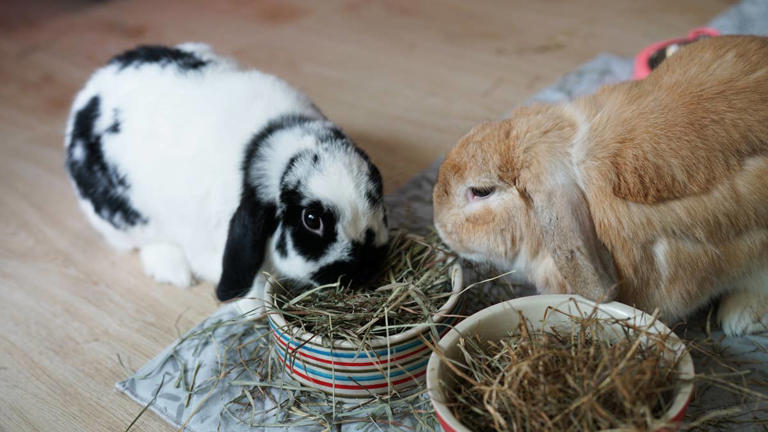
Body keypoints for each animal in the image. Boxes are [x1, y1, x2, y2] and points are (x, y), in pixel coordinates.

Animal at [65, 43, 389, 304]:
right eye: (311, 220)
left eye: (376, 191)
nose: (367, 268)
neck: (265, 140)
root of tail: (89, 90)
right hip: (124, 223)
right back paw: (174, 270)